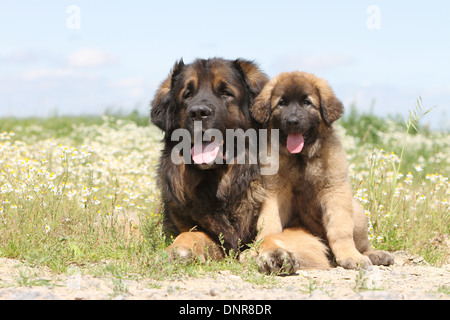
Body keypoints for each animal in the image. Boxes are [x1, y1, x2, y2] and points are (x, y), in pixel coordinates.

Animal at [250, 70, 394, 272]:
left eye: (306, 102)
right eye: (282, 103)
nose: (292, 121)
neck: (302, 158)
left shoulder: (334, 189)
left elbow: (340, 229)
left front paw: (350, 256)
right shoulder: (274, 191)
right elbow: (269, 224)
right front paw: (262, 249)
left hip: (357, 212)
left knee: (362, 244)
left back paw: (373, 254)